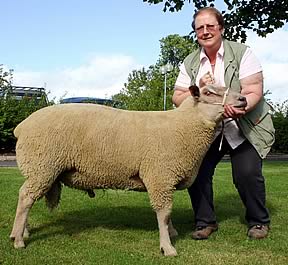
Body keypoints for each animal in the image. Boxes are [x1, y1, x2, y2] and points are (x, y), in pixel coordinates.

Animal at [10, 84, 246, 256]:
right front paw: (167, 247)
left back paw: (23, 231)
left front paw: (171, 233)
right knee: (25, 197)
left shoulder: (164, 180)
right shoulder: (160, 176)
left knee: (25, 197)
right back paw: (18, 239)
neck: (184, 126)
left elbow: (167, 214)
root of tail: (21, 126)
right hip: (43, 166)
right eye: (208, 92)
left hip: (41, 170)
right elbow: (164, 213)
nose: (243, 99)